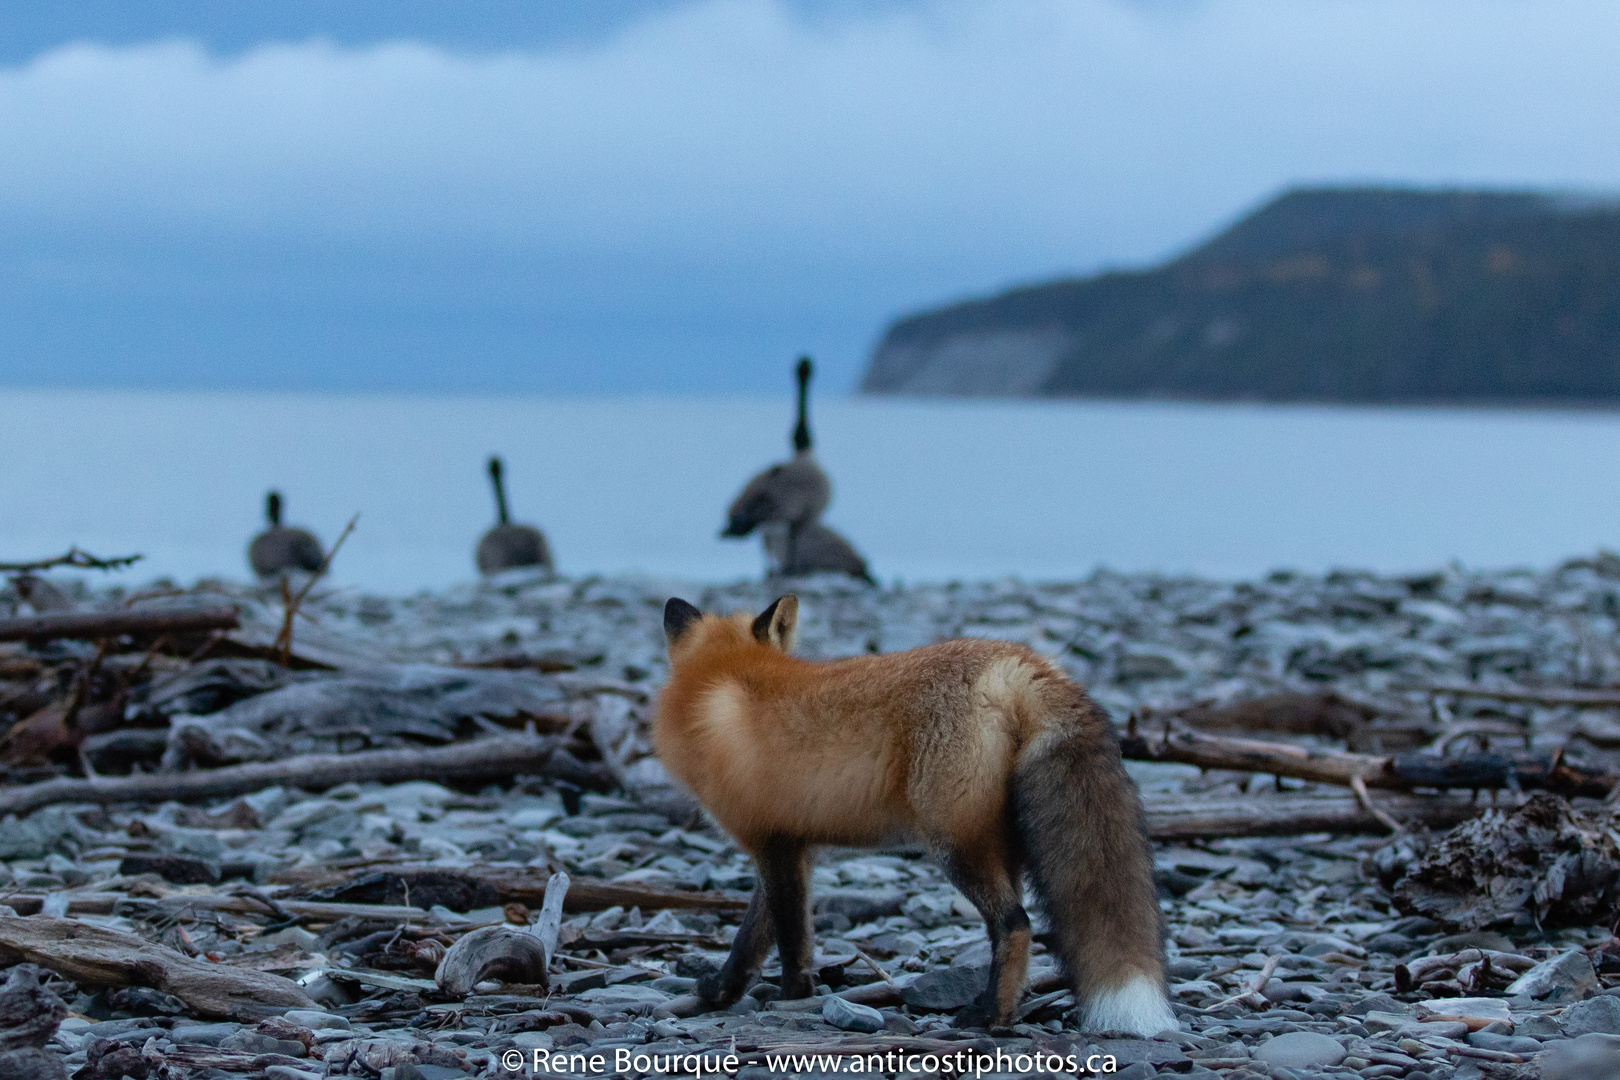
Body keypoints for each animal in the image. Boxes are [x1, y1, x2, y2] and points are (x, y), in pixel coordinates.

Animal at [657, 595, 1179, 1036]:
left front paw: (791, 997)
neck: (724, 685)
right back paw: (1003, 1010)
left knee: (1015, 924)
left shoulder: (770, 842)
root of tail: (1018, 662)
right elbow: (756, 935)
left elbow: (788, 937)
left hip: (954, 845)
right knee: (1009, 930)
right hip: (1000, 847)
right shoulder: (795, 845)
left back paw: (988, 1017)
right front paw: (723, 990)